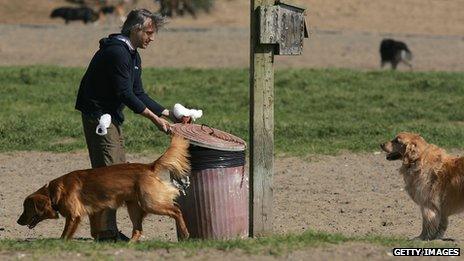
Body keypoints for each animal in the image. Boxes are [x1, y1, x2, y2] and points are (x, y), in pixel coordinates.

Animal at [16, 135, 190, 241]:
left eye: (26, 208)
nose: (18, 221)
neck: (54, 192)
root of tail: (149, 166)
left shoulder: (73, 216)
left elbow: (64, 235)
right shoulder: (94, 212)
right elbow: (94, 231)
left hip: (150, 203)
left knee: (177, 211)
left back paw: (185, 232)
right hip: (134, 207)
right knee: (138, 230)